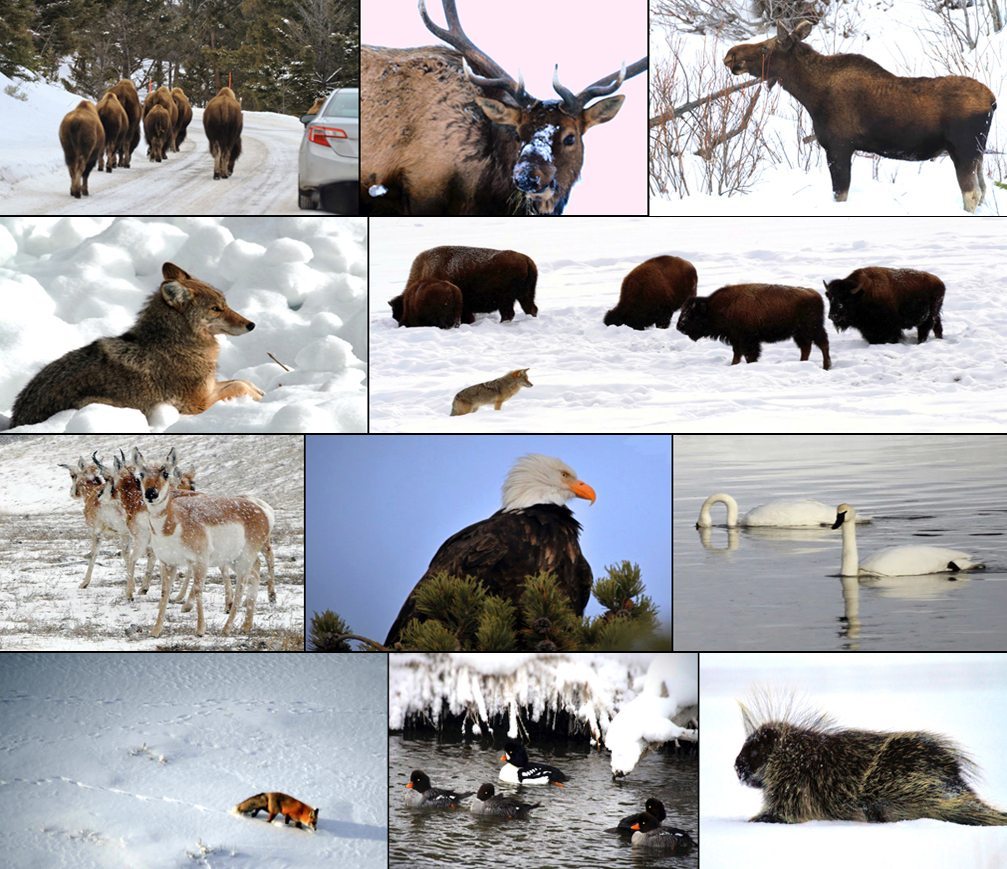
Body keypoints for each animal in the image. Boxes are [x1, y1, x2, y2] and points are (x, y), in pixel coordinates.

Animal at [676, 283, 833, 368]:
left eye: (691, 313)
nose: (679, 326)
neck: (715, 307)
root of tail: (814, 294)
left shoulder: (748, 340)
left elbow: (749, 355)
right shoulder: (736, 340)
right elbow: (737, 354)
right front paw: (734, 365)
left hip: (811, 330)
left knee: (822, 345)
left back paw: (826, 367)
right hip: (800, 334)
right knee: (807, 347)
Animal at [721, 20, 994, 212]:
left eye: (765, 48)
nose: (730, 55)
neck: (810, 94)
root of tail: (993, 101)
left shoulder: (838, 147)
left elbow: (839, 194)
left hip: (963, 151)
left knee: (972, 194)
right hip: (977, 153)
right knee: (983, 189)